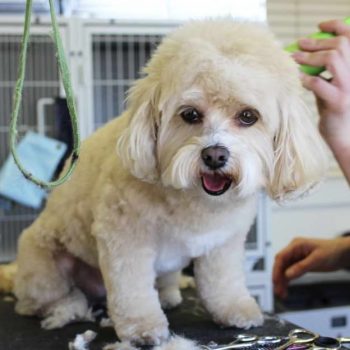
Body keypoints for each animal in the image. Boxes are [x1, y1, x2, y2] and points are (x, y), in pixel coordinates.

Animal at [12, 19, 326, 348]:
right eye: (190, 114)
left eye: (248, 116)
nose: (215, 155)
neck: (197, 201)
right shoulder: (124, 238)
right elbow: (132, 288)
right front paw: (142, 327)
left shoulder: (224, 242)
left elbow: (223, 281)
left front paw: (235, 309)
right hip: (44, 263)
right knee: (38, 300)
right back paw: (67, 306)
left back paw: (167, 294)